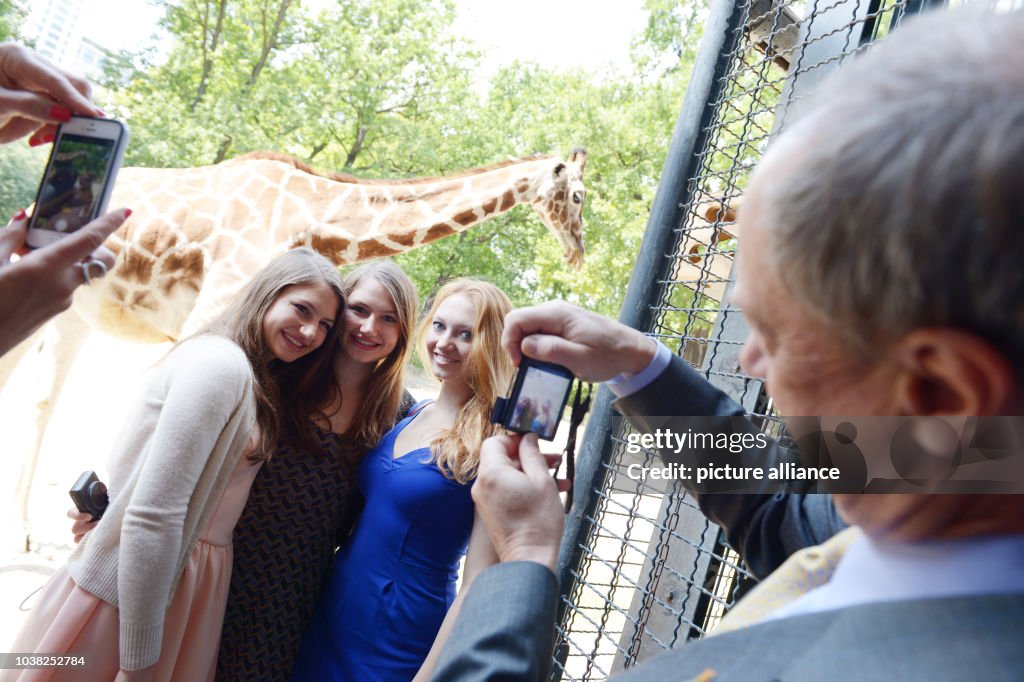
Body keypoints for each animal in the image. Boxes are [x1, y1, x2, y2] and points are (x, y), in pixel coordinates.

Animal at [0, 146, 589, 548]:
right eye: (580, 195)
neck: (314, 216)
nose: (577, 251)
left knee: (41, 397)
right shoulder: (214, 305)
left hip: (77, 311)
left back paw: (25, 530)